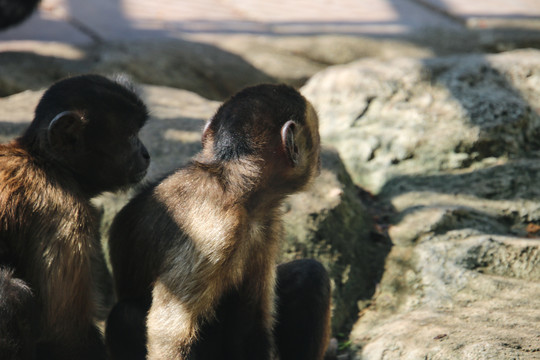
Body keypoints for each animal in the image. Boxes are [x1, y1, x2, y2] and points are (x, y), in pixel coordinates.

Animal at [0, 74, 150, 358]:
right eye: (130, 136)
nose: (146, 154)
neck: (44, 162)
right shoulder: (62, 209)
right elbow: (64, 335)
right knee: (12, 293)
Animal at [105, 84, 332, 360]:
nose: (320, 160)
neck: (231, 184)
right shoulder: (213, 229)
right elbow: (169, 335)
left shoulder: (266, 222)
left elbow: (253, 318)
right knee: (125, 315)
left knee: (310, 274)